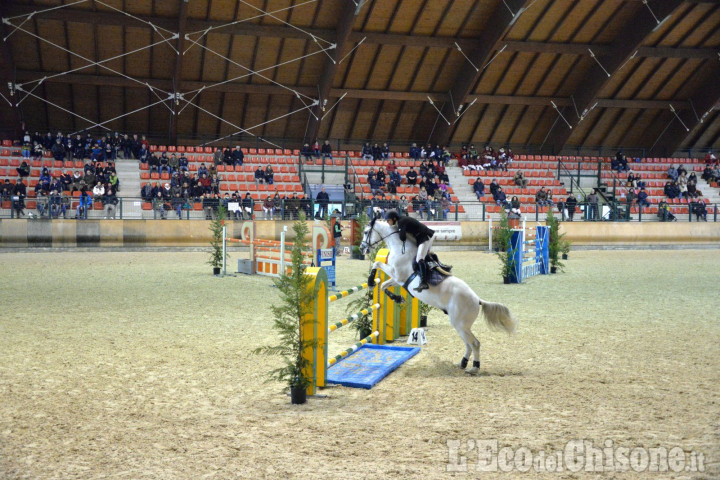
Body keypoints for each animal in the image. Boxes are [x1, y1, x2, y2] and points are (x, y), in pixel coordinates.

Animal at [360, 218, 516, 376]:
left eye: (366, 232)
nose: (362, 248)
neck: (400, 247)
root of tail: (477, 300)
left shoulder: (397, 275)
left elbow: (377, 263)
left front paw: (370, 281)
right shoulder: (398, 280)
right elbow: (383, 285)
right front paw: (397, 298)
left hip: (460, 323)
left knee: (475, 343)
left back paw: (474, 367)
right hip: (460, 325)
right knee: (468, 343)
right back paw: (463, 363)